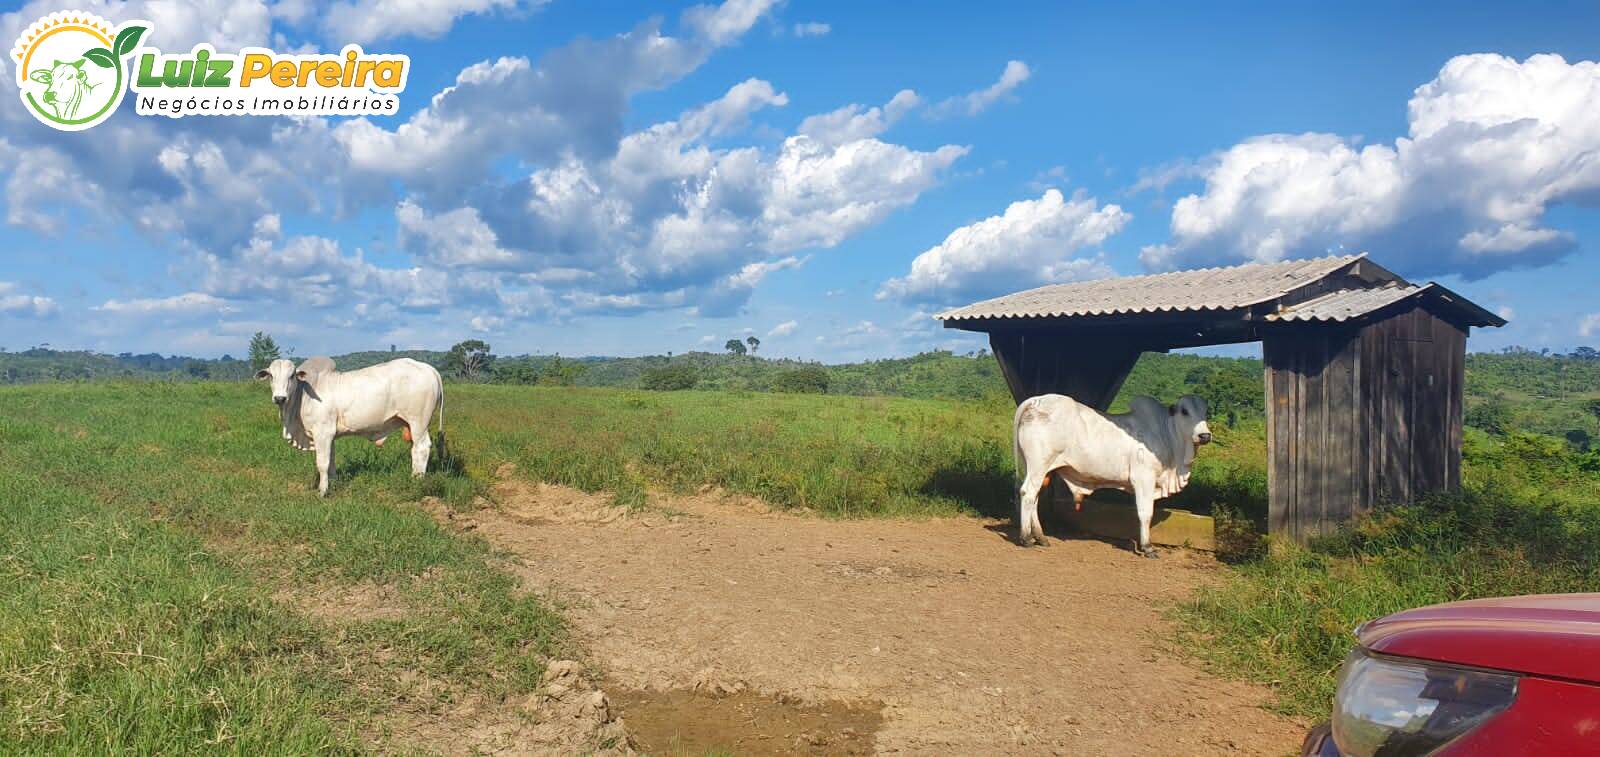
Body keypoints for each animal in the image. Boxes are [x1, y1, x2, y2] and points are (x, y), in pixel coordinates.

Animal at [256, 355, 444, 496]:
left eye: (292, 376)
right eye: (271, 376)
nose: (280, 398)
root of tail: (428, 368)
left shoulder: (323, 433)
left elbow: (322, 463)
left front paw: (322, 491)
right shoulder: (330, 436)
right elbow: (331, 461)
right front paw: (333, 483)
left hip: (418, 422)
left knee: (422, 448)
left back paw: (417, 480)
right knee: (415, 449)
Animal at [1011, 392, 1209, 556]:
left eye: (1206, 412)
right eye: (1184, 411)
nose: (1205, 436)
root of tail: (1037, 400)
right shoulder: (1144, 478)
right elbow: (1145, 513)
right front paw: (1147, 547)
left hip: (1040, 469)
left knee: (1035, 497)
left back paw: (1041, 538)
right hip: (1038, 464)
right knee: (1028, 493)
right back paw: (1026, 538)